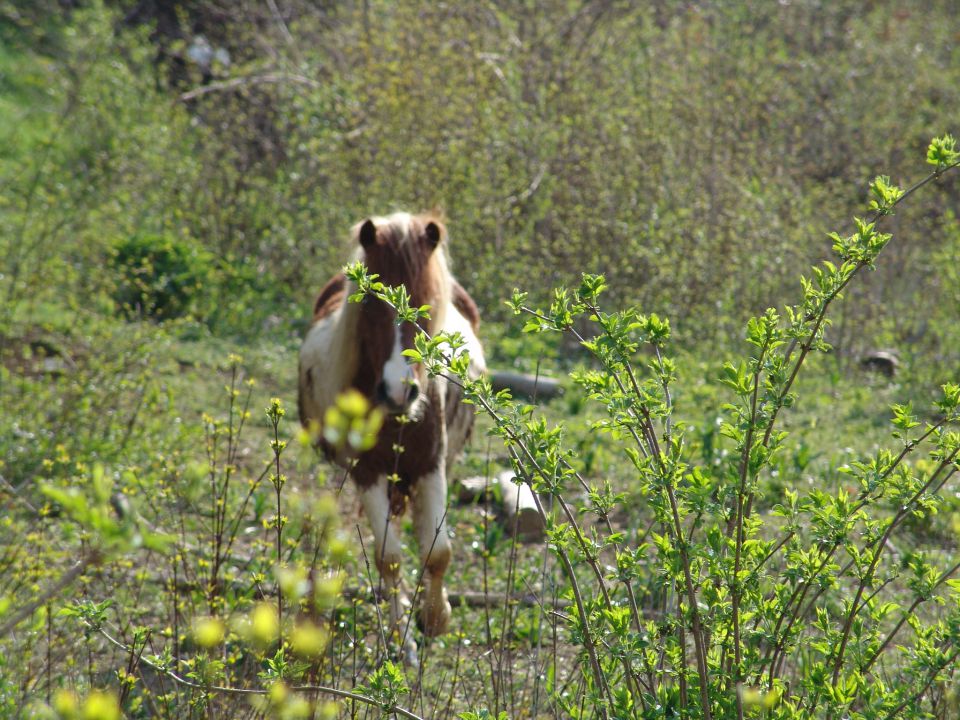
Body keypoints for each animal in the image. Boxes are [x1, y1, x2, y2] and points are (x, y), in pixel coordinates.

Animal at [296, 212, 484, 664]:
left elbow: (438, 552)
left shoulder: (433, 468)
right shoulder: (366, 473)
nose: (399, 391)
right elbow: (390, 558)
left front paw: (436, 618)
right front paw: (404, 641)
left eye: (429, 304)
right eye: (370, 303)